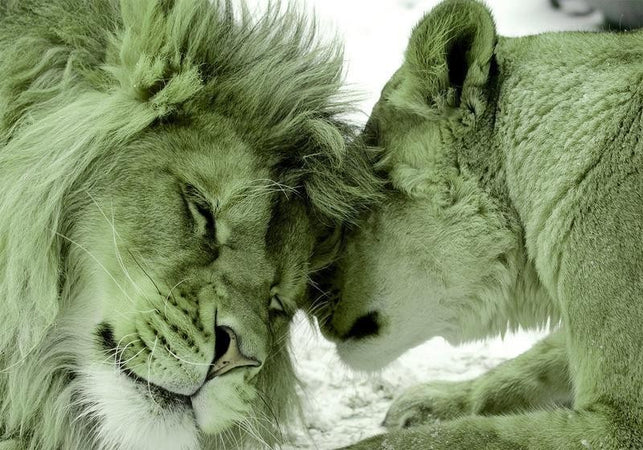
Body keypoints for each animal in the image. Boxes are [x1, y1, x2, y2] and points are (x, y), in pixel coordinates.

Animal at [312, 0, 643, 448]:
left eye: (354, 206)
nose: (308, 300)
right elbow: (527, 365)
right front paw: (429, 402)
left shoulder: (622, 424)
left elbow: (461, 436)